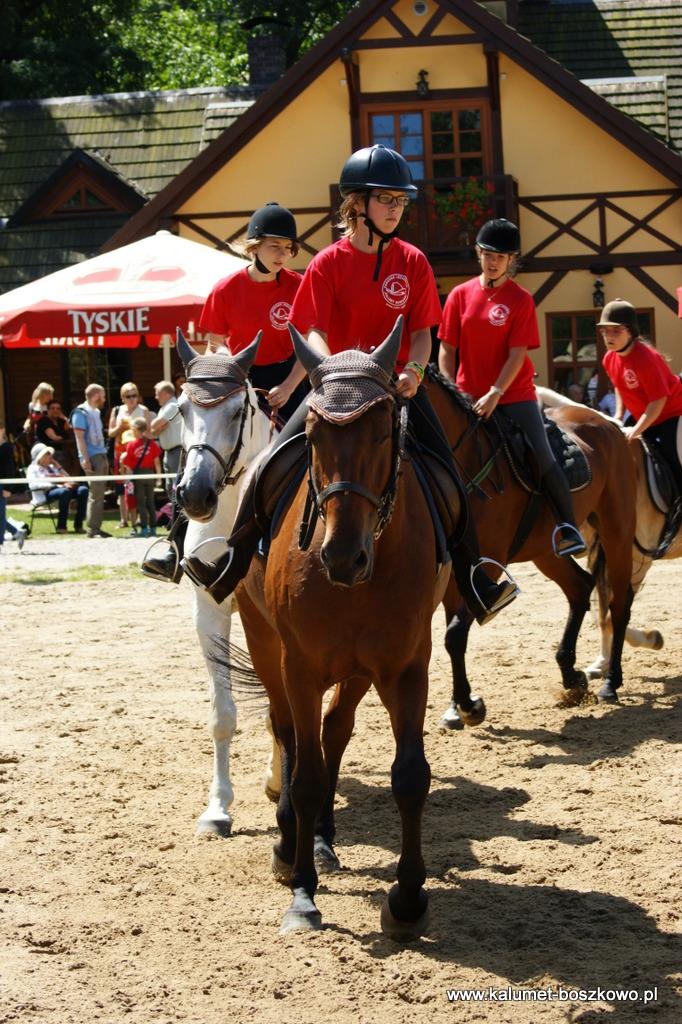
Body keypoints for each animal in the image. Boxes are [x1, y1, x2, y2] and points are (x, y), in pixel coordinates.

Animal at [196, 318, 451, 938]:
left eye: (383, 431)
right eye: (312, 434)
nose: (342, 556)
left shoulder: (407, 664)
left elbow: (410, 775)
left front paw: (408, 898)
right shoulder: (301, 665)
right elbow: (306, 771)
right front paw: (303, 894)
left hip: (358, 668)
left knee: (334, 731)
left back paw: (320, 838)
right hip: (266, 645)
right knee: (291, 736)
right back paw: (291, 843)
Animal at [425, 373, 637, 720]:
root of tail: (606, 423)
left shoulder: (487, 565)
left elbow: (455, 633)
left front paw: (469, 707)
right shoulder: (457, 573)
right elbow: (452, 632)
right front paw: (459, 704)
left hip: (616, 529)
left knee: (619, 602)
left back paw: (610, 681)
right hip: (545, 551)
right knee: (581, 587)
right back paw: (571, 674)